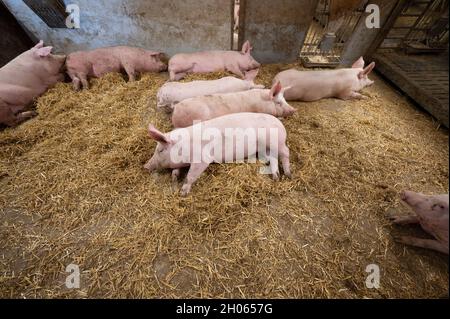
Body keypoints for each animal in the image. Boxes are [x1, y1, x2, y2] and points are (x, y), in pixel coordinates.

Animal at [143, 114, 292, 196]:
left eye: (160, 150)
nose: (145, 166)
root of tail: (280, 123)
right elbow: (176, 169)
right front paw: (174, 177)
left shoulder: (202, 158)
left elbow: (191, 175)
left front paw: (183, 193)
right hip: (265, 148)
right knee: (273, 158)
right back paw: (275, 177)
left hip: (275, 141)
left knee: (285, 152)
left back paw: (288, 174)